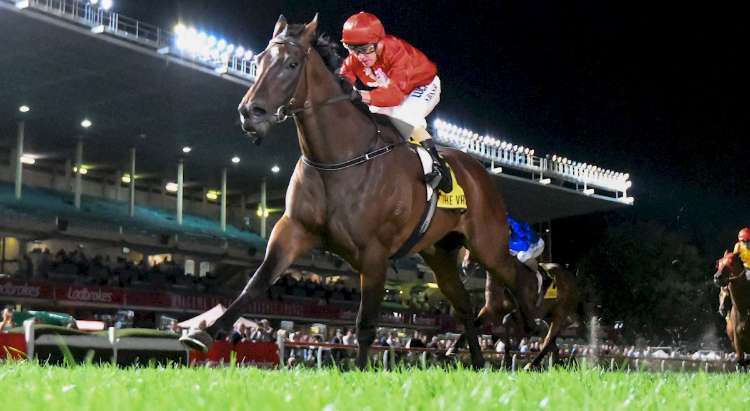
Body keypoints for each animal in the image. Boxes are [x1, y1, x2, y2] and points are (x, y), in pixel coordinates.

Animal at [180, 14, 540, 369]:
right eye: (259, 60)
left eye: (292, 64)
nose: (250, 113)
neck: (337, 159)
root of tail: (480, 173)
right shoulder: (293, 229)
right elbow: (256, 283)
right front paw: (205, 332)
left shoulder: (374, 253)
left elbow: (365, 323)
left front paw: (361, 370)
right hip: (440, 251)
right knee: (465, 304)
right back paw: (478, 361)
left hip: (486, 243)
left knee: (515, 275)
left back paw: (531, 324)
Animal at [452, 260, 584, 370]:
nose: (465, 266)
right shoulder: (491, 310)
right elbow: (477, 323)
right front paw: (453, 348)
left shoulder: (522, 311)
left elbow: (511, 324)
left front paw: (507, 358)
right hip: (549, 316)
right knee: (551, 344)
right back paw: (556, 364)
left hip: (560, 314)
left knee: (548, 340)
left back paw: (532, 364)